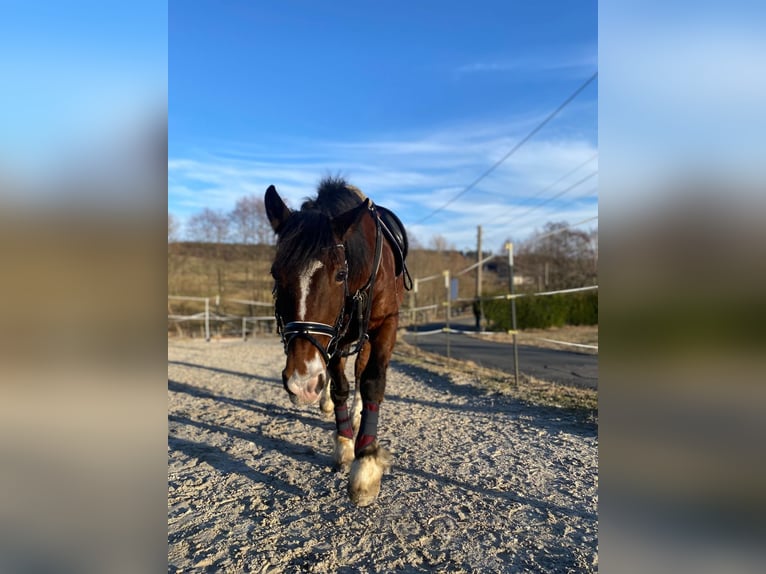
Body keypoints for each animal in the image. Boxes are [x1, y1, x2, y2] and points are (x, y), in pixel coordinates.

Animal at [265, 177, 411, 506]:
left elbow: (371, 381)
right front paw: (344, 444)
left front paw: (365, 463)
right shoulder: (333, 338)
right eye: (276, 274)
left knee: (361, 372)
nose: (302, 381)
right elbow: (340, 386)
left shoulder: (386, 324)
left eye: (340, 274)